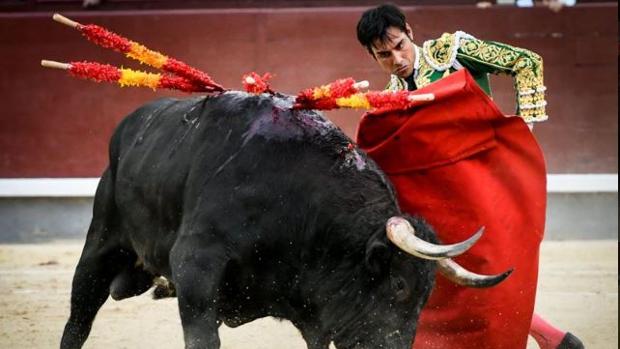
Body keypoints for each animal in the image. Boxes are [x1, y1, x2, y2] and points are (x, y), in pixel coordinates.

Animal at [59, 91, 508, 346]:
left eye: (427, 295)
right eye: (398, 285)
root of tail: (130, 124)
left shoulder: (313, 307)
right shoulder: (196, 266)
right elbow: (203, 337)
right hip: (101, 243)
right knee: (78, 319)